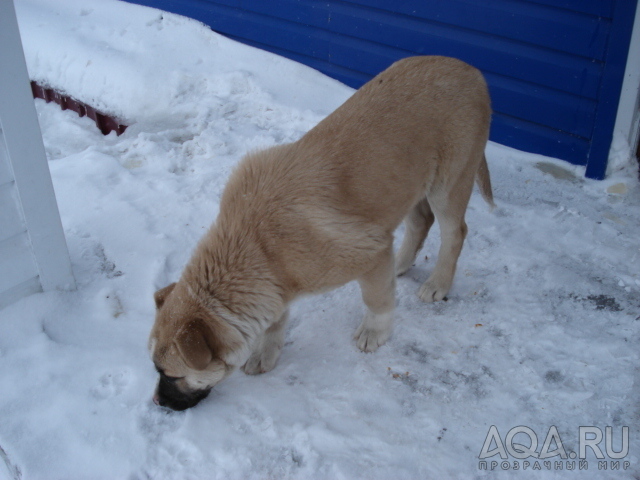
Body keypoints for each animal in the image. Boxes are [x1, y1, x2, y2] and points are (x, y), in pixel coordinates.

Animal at [150, 55, 496, 408]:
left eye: (171, 375)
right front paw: (265, 352)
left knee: (455, 232)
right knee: (420, 221)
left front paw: (375, 332)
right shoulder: (277, 286)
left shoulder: (368, 253)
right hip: (411, 182)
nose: (157, 403)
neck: (256, 245)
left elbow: (376, 299)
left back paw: (438, 283)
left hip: (448, 182)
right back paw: (401, 263)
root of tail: (470, 70)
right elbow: (275, 322)